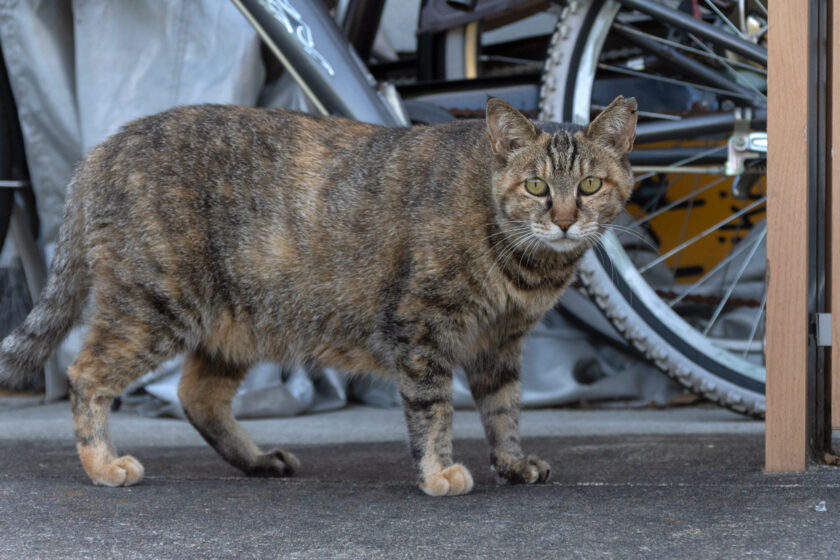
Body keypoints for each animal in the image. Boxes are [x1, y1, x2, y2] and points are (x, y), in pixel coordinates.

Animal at [0, 95, 632, 494]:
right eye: (537, 186)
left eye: (591, 185)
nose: (566, 221)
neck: (525, 264)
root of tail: (101, 150)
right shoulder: (422, 327)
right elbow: (433, 410)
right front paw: (437, 474)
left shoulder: (499, 344)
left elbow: (504, 410)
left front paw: (512, 463)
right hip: (154, 306)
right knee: (87, 374)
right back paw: (102, 465)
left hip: (233, 321)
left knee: (195, 393)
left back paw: (257, 460)